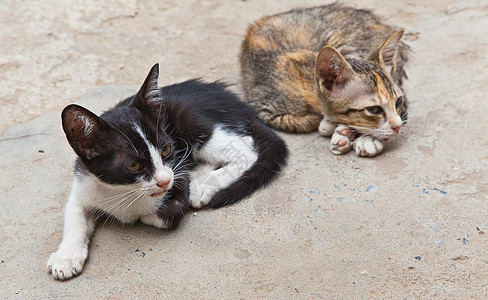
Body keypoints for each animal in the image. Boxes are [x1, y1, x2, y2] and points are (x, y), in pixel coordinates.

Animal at [46, 64, 286, 280]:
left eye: (166, 149)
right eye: (134, 166)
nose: (164, 181)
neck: (123, 192)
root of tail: (238, 102)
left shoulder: (175, 177)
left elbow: (163, 214)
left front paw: (150, 212)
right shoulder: (84, 181)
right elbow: (75, 215)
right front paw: (66, 257)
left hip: (187, 114)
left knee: (246, 149)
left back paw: (202, 184)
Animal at [242, 2, 410, 157]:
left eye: (398, 102)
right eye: (374, 109)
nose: (398, 127)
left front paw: (361, 136)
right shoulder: (261, 105)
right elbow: (308, 121)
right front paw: (332, 125)